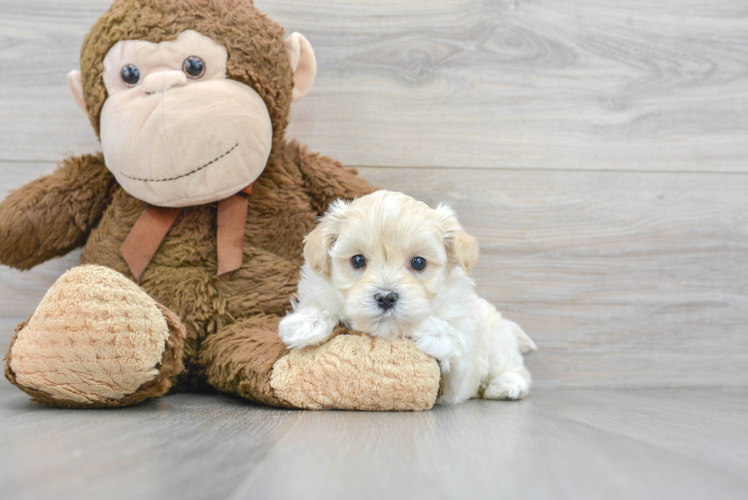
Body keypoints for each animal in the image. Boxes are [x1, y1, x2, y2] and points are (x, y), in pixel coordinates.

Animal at [278, 189, 536, 404]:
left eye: (419, 262)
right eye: (358, 260)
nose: (386, 297)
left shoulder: (458, 377)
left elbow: (454, 344)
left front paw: (428, 329)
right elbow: (320, 305)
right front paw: (304, 324)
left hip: (499, 341)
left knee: (513, 367)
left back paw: (506, 385)